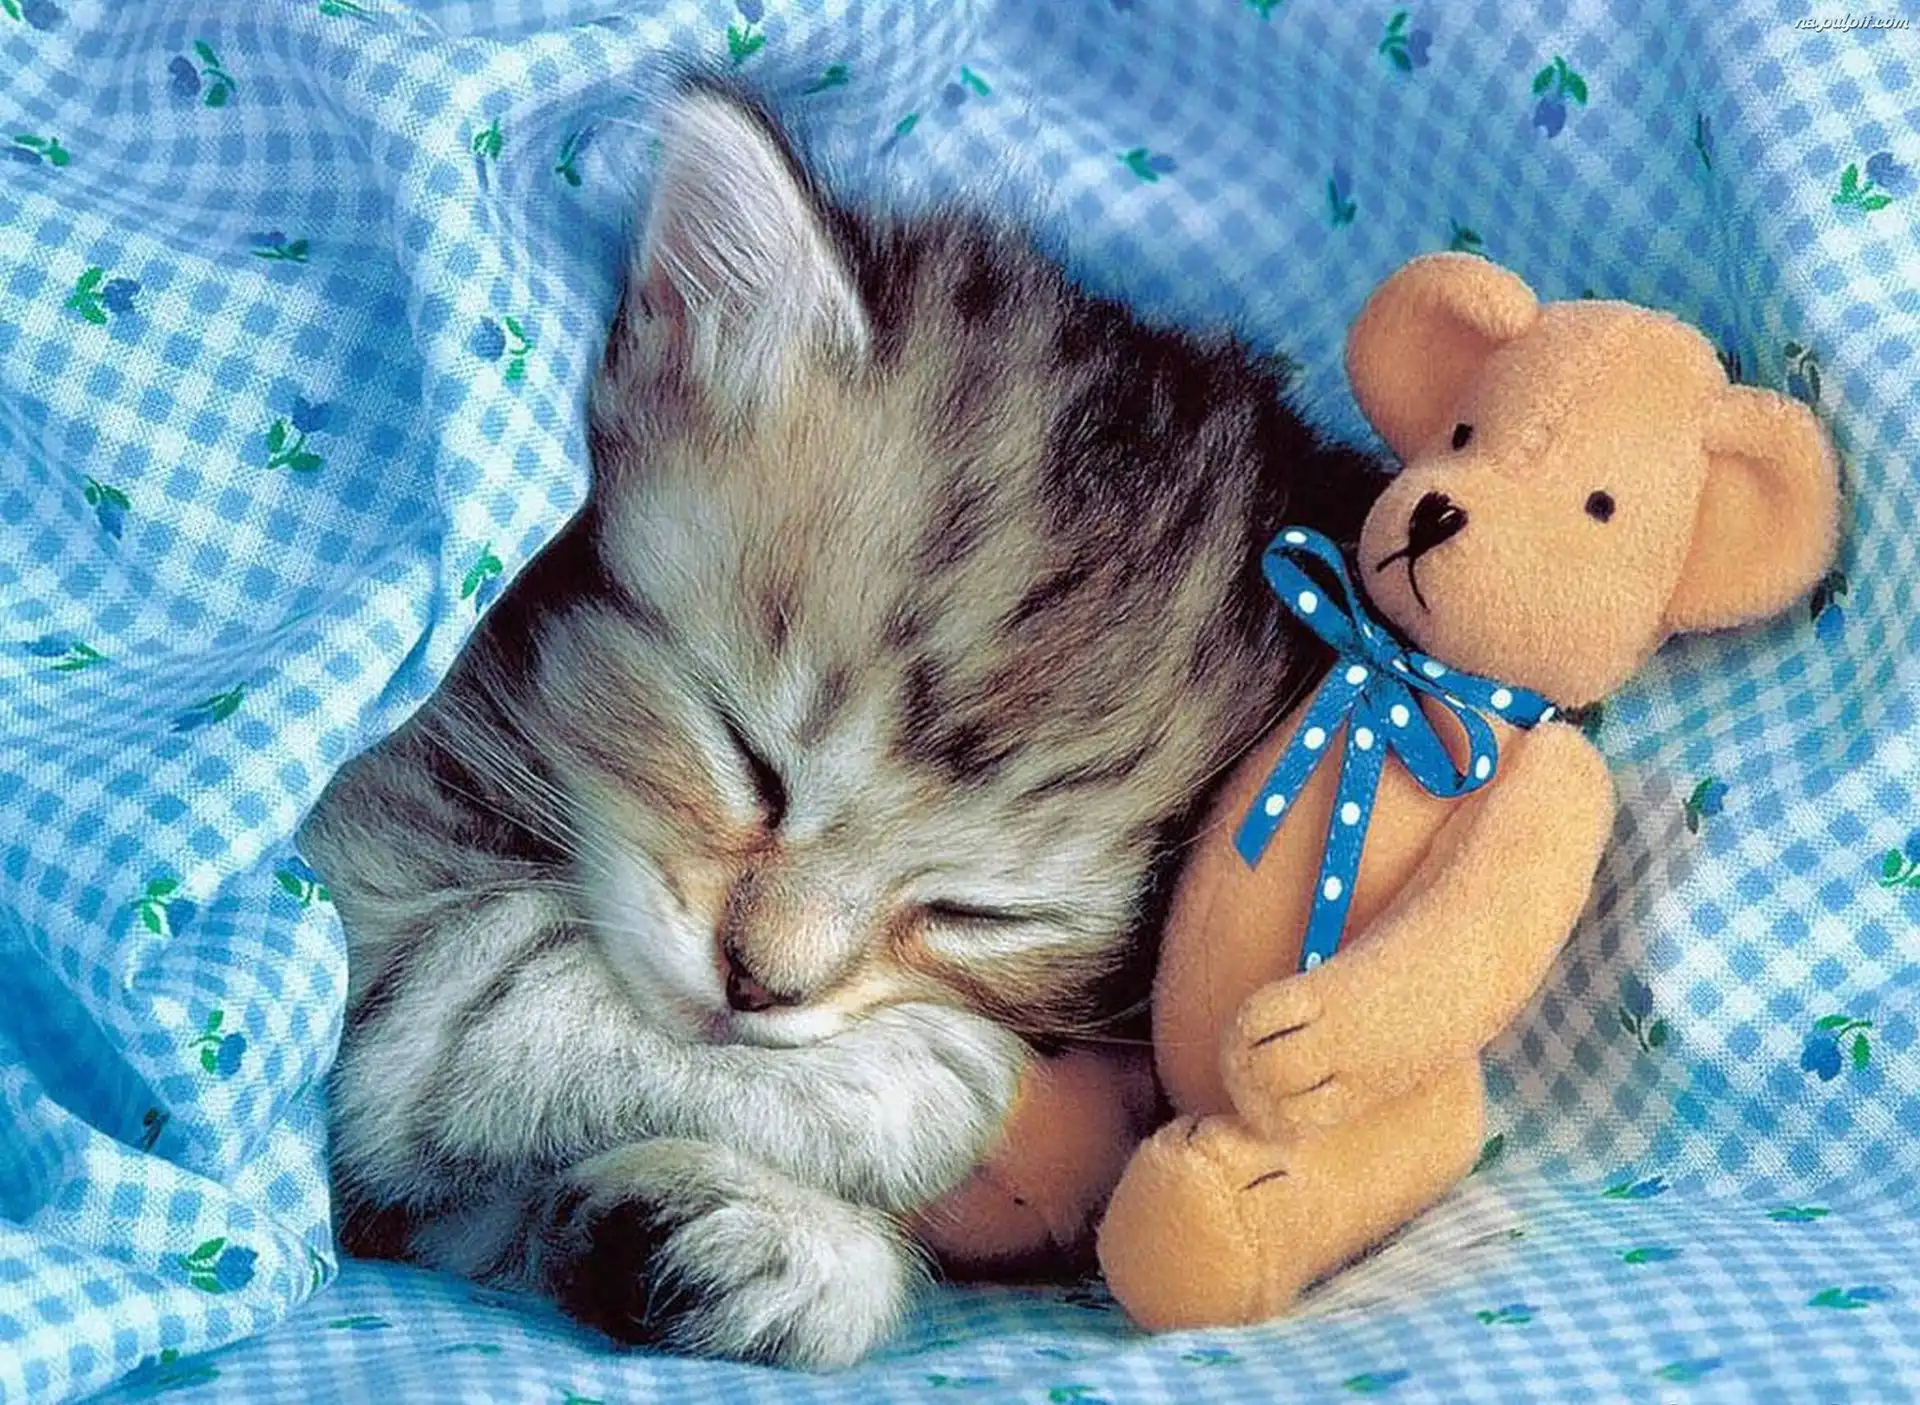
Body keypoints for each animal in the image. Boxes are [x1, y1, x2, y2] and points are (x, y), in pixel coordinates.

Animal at [298, 85, 1386, 1368]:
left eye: (981, 915)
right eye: (748, 759)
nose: (758, 985)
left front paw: (765, 1246)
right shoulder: (360, 895)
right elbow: (509, 1002)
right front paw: (929, 1080)